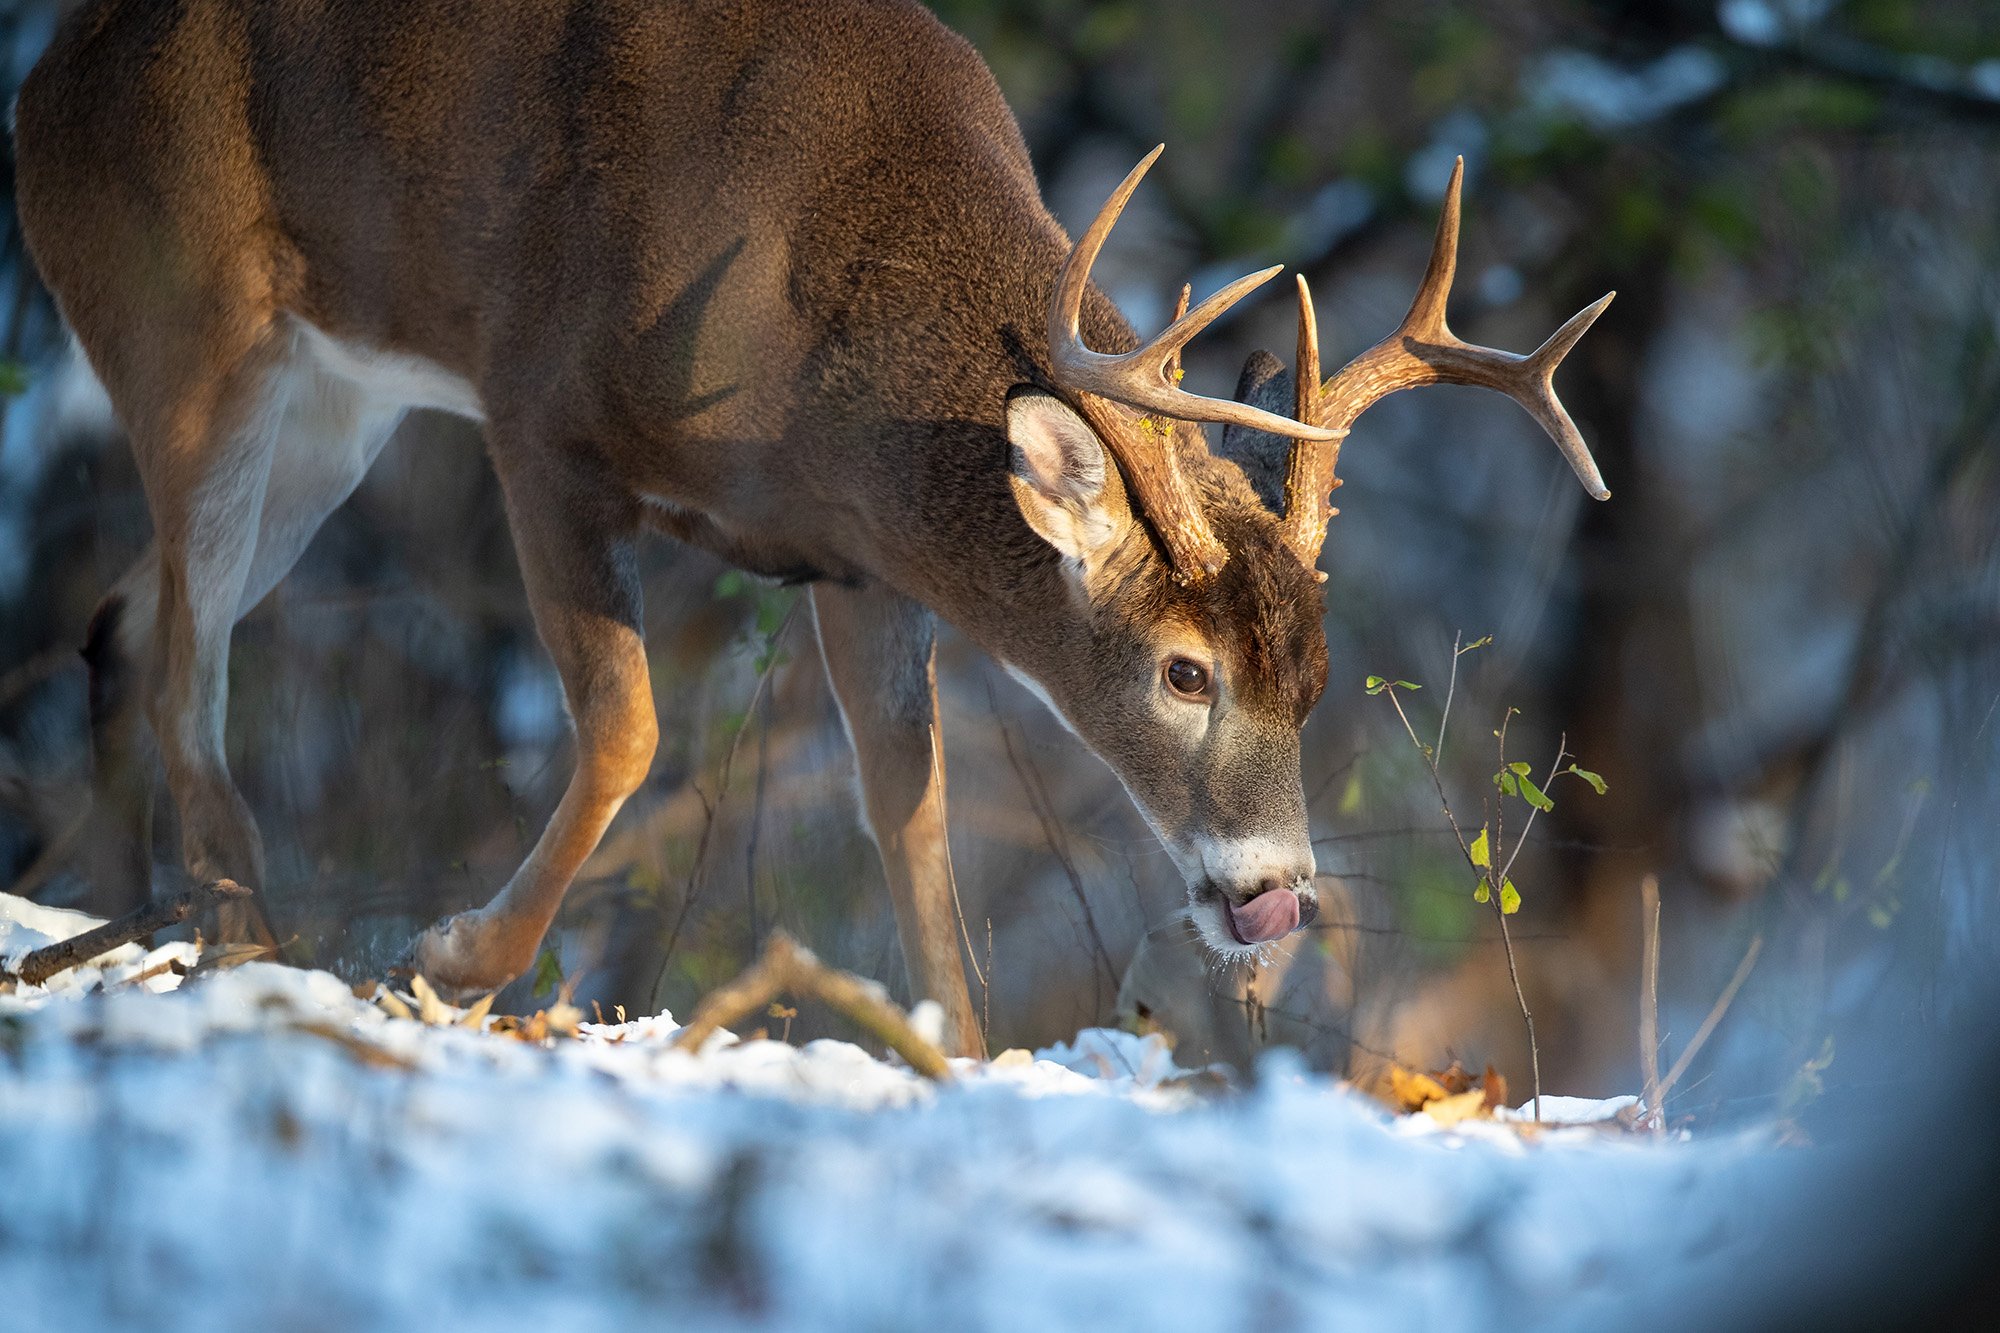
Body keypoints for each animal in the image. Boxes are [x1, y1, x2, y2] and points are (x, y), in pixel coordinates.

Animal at [12, 0, 1609, 1056]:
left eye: (1316, 680)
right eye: (1181, 669)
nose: (1274, 901)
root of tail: (45, 75)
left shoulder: (860, 562)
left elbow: (914, 817)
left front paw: (955, 1046)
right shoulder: (539, 416)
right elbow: (628, 727)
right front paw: (456, 956)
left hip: (332, 405)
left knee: (126, 619)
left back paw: (130, 913)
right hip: (186, 320)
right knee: (188, 657)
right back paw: (248, 939)